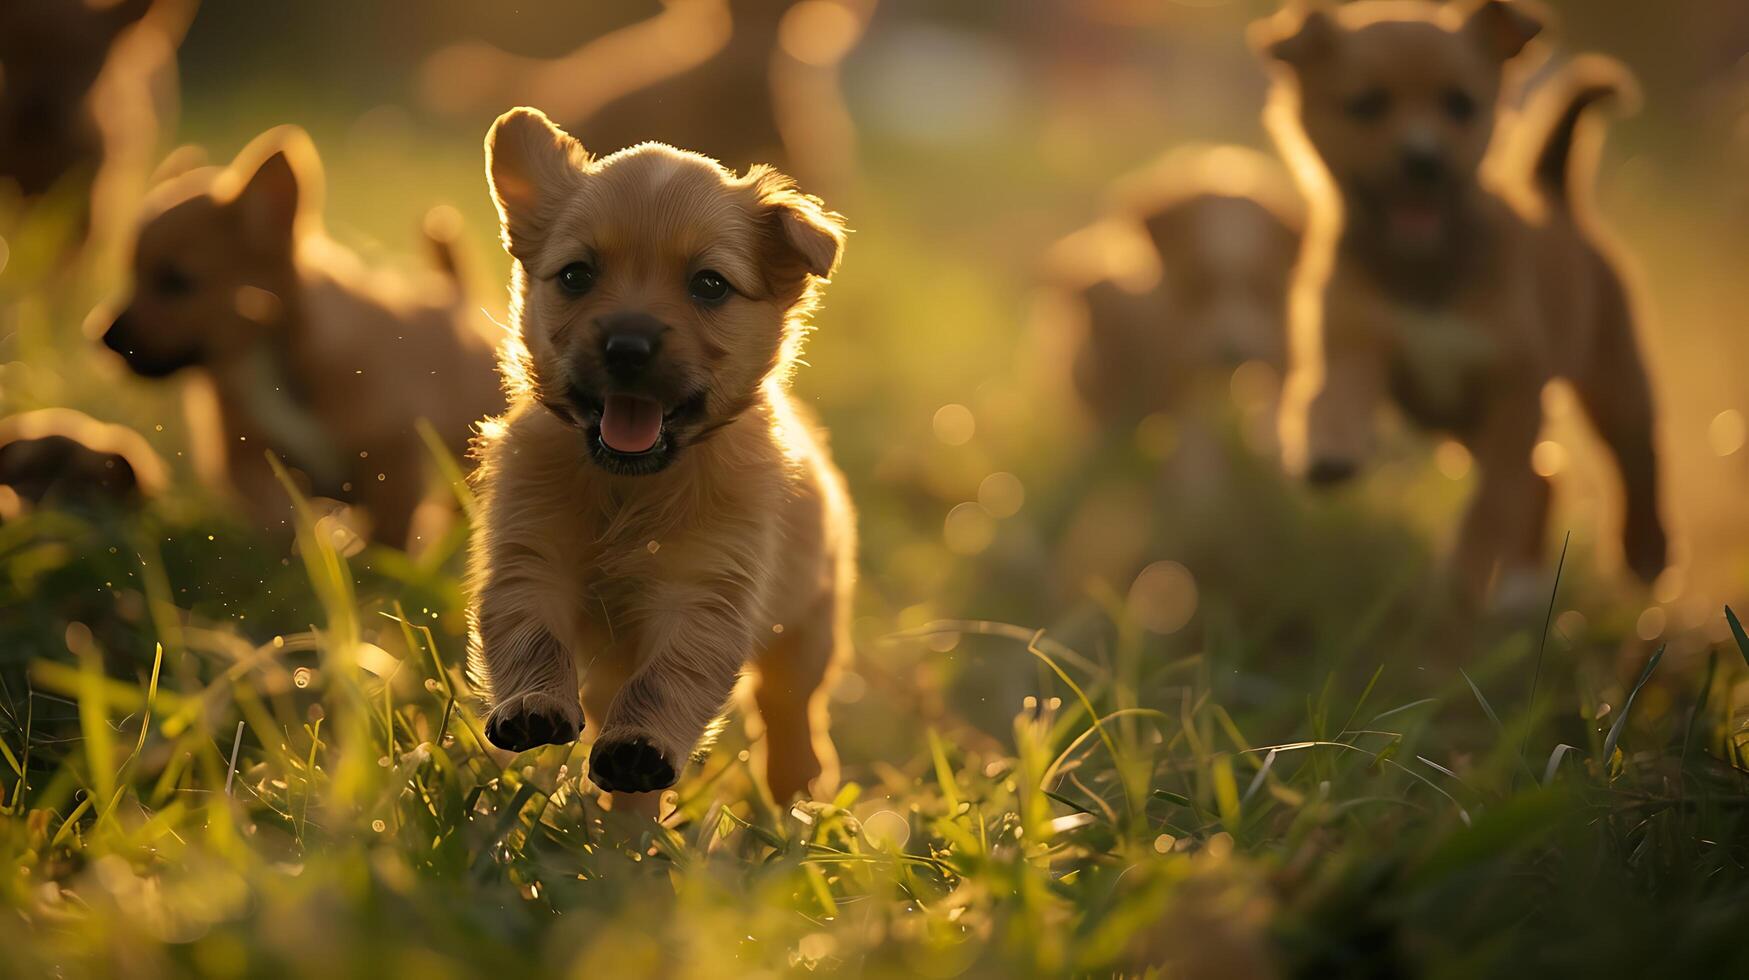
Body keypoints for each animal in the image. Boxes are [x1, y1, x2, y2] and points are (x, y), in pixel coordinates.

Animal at [100, 126, 503, 546]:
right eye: (131, 275)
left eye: (176, 282)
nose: (103, 338)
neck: (264, 360)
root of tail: (457, 295)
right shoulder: (244, 460)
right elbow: (277, 511)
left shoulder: (392, 460)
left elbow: (392, 536)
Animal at [461, 107, 850, 805]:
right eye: (576, 275)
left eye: (709, 285)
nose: (628, 344)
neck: (629, 489)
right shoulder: (530, 556)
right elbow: (530, 632)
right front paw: (534, 704)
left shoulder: (704, 593)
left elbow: (669, 678)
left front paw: (640, 748)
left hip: (811, 625)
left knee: (789, 704)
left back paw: (796, 781)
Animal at [1252, 1, 1658, 605]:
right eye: (1366, 104)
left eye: (1460, 104)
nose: (1424, 160)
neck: (1425, 268)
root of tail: (1556, 196)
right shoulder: (1353, 342)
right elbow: (1333, 398)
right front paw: (1329, 449)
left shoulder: (1513, 391)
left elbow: (1490, 508)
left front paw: (1464, 573)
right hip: (1464, 430)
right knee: (1544, 481)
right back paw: (1521, 588)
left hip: (1613, 379)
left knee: (1630, 454)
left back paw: (1644, 552)